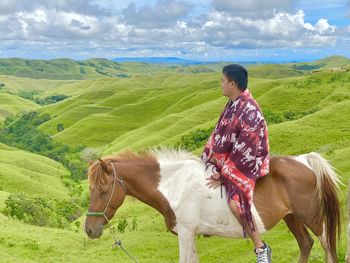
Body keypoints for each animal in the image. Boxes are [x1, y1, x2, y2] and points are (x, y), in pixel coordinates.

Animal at [85, 150, 342, 263]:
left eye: (103, 190)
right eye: (91, 189)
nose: (89, 229)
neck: (174, 184)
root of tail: (303, 160)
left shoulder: (186, 233)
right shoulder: (190, 234)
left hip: (310, 216)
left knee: (325, 245)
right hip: (292, 217)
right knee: (306, 244)